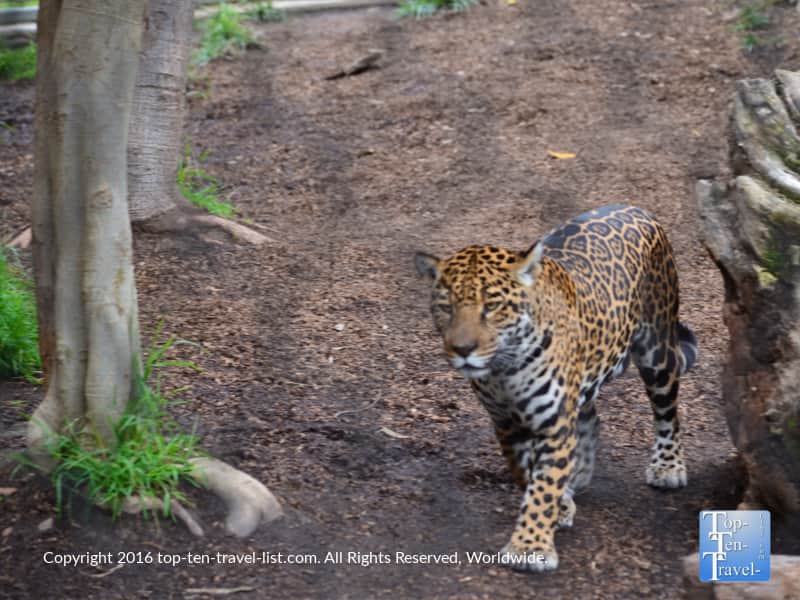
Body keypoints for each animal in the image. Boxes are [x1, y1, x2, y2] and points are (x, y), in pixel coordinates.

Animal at [414, 205, 697, 572]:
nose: (462, 349)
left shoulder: (554, 421)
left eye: (492, 306)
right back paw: (579, 473)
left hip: (658, 347)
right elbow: (527, 472)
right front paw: (559, 506)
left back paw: (668, 465)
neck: (504, 371)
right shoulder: (506, 424)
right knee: (591, 416)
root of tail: (638, 209)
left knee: (667, 412)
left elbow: (543, 484)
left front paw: (529, 546)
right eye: (446, 307)